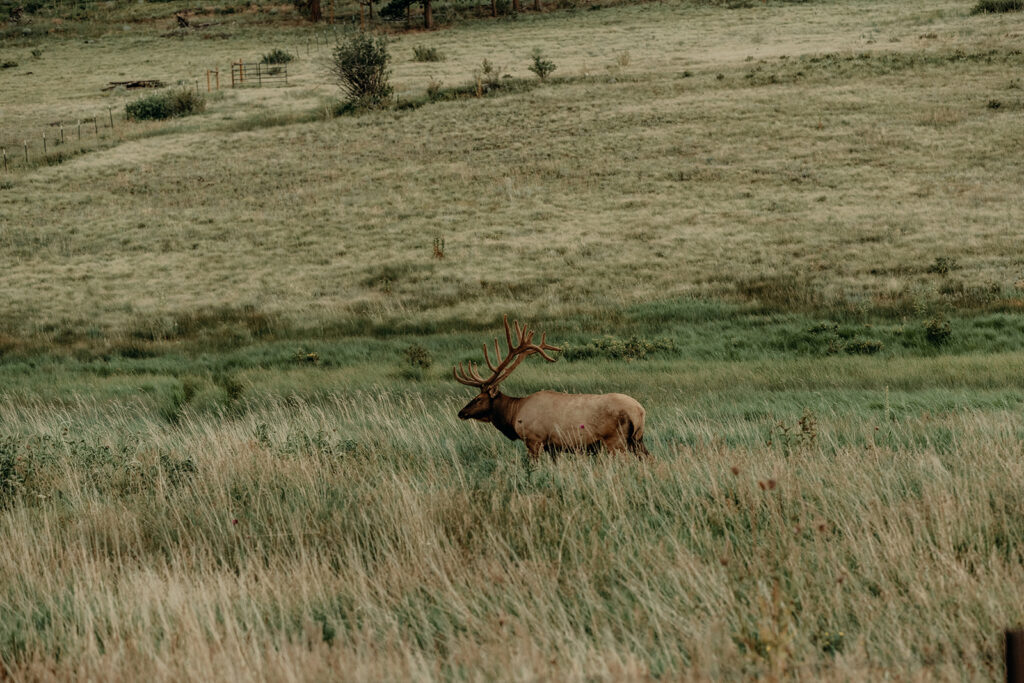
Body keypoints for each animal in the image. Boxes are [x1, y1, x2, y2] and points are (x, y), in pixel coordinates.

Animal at [454, 316, 650, 461]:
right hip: (637, 440)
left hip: (615, 440)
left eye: (478, 399)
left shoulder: (534, 439)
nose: (461, 412)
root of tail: (639, 411)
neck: (514, 415)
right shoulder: (553, 447)